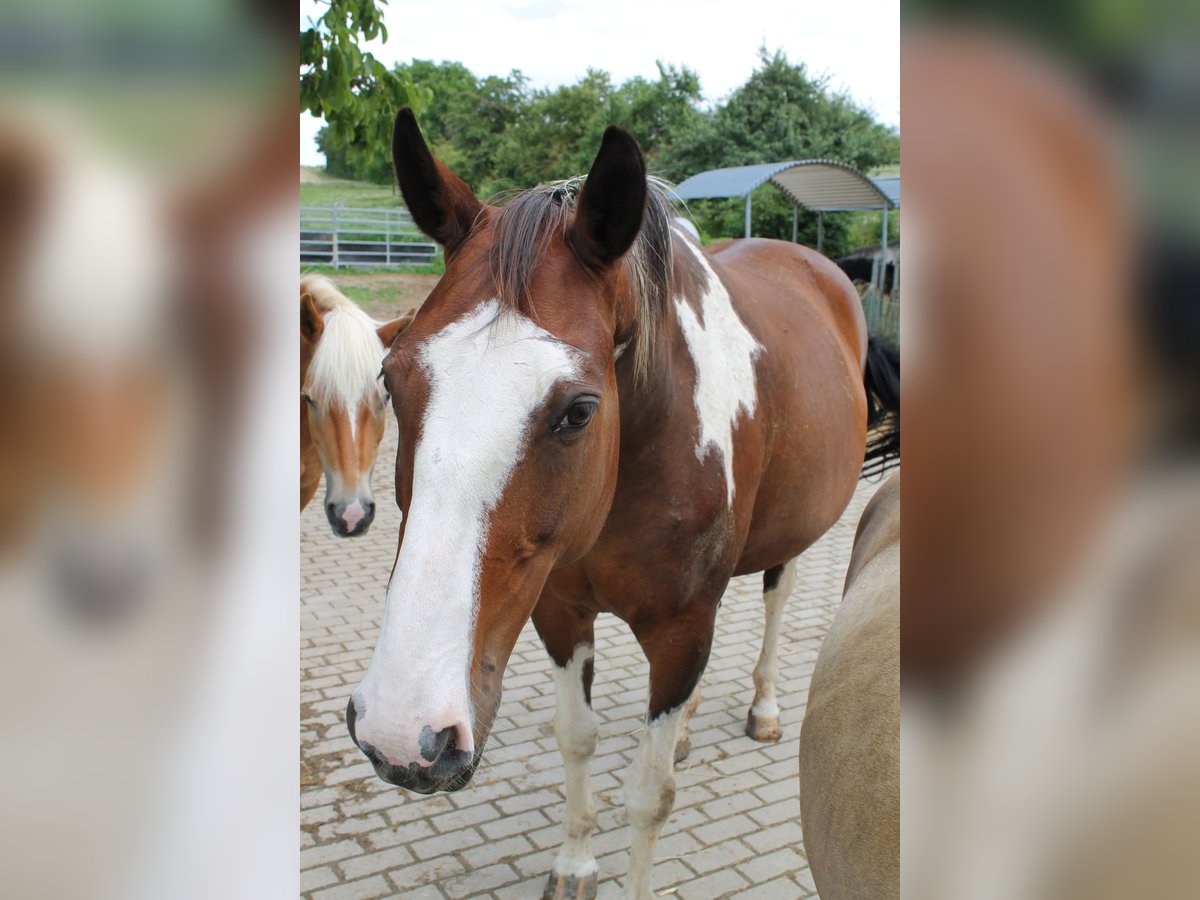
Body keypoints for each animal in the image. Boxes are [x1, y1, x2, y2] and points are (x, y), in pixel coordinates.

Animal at [348, 109, 902, 897]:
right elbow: (577, 740)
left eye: (579, 411)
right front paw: (576, 861)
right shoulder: (559, 611)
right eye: (392, 382)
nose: (402, 730)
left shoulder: (680, 632)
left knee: (776, 597)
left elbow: (650, 795)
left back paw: (763, 707)